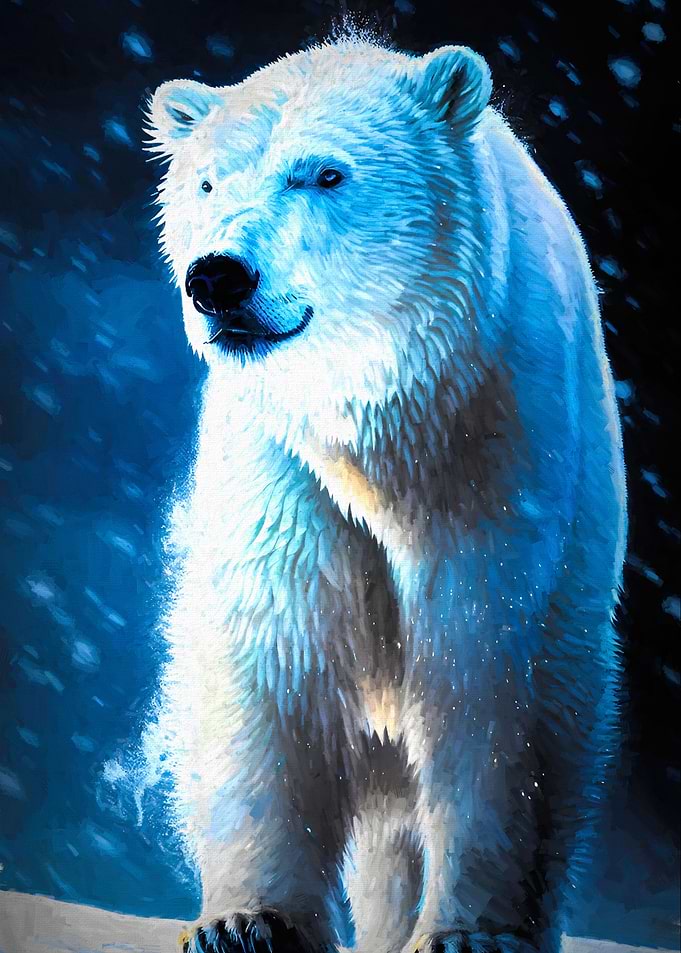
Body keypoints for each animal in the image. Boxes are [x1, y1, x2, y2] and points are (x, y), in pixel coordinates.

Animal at [145, 35, 627, 953]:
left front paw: (468, 930)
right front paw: (245, 920)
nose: (217, 277)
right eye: (208, 182)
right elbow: (272, 659)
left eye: (325, 173)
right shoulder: (282, 477)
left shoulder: (494, 450)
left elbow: (487, 674)